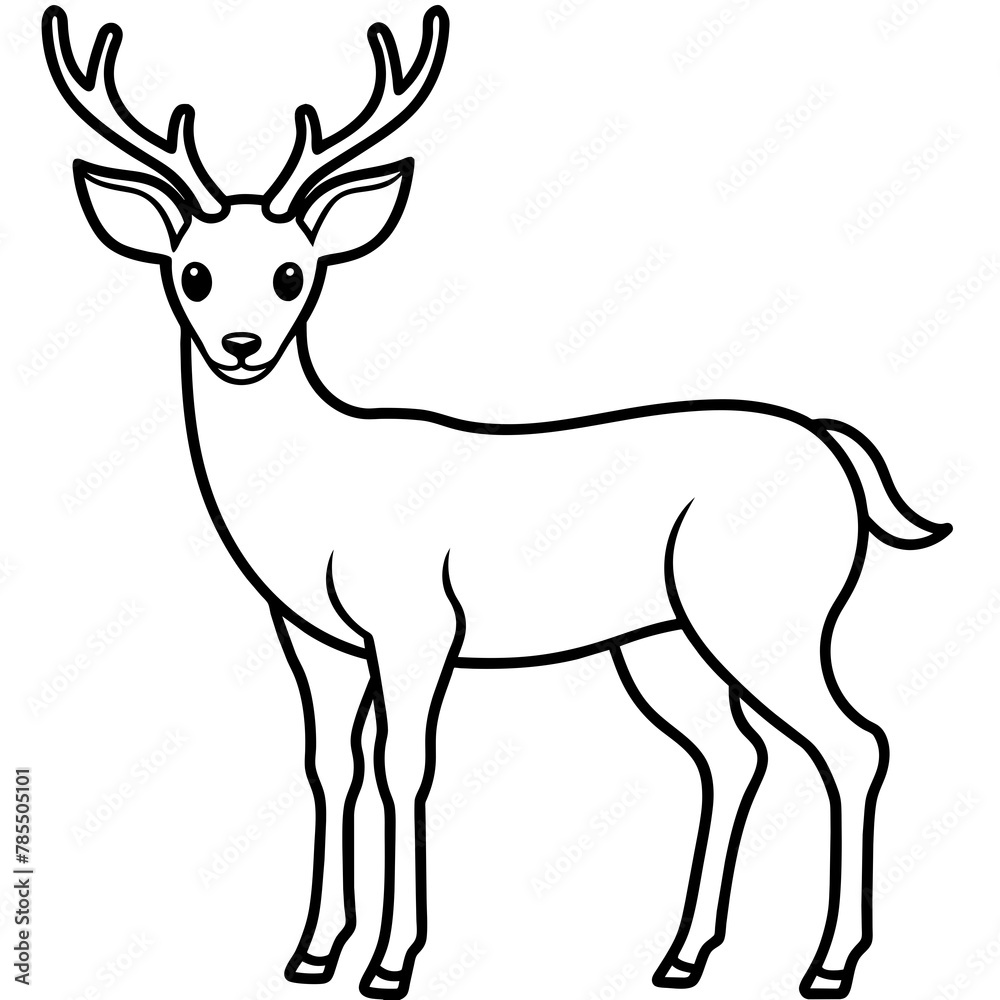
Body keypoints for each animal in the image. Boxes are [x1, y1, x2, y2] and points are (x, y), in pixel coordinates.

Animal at [42, 5, 952, 998]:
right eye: (193, 274)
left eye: (293, 274)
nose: (240, 345)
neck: (315, 496)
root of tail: (833, 446)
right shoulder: (313, 636)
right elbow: (329, 768)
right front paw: (313, 952)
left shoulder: (416, 623)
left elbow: (404, 768)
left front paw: (390, 963)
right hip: (661, 639)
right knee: (732, 753)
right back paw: (682, 955)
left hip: (768, 611)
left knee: (855, 742)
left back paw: (828, 964)